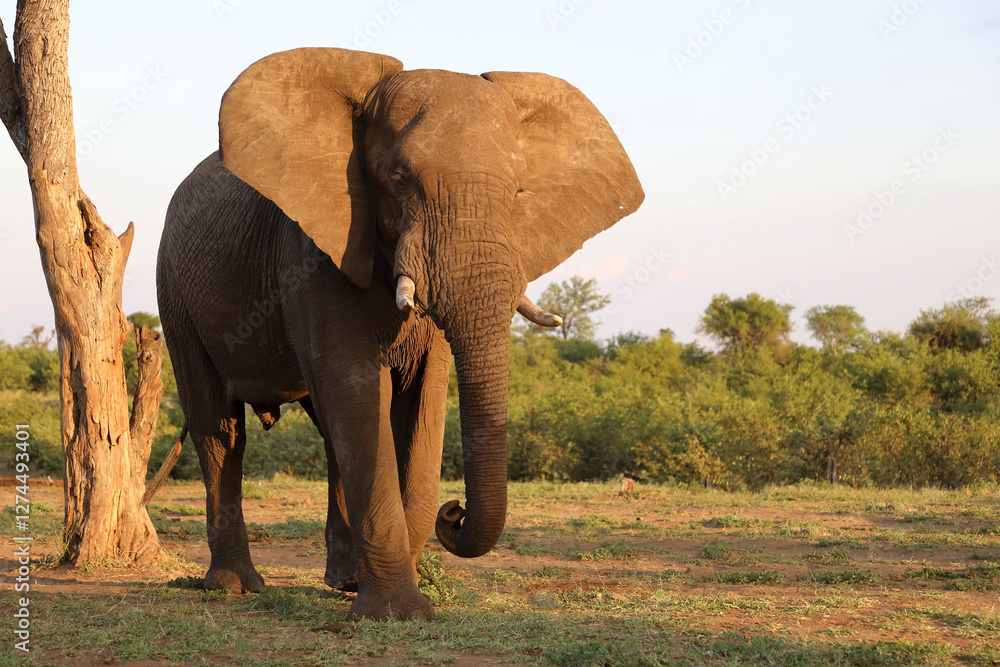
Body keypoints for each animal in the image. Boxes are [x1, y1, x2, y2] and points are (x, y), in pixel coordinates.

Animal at [156, 47, 643, 621]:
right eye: (399, 177)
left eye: (519, 189)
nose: (454, 511)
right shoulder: (310, 250)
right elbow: (357, 387)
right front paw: (397, 614)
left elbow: (421, 397)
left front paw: (390, 593)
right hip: (174, 291)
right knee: (218, 428)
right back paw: (235, 586)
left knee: (327, 431)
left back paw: (342, 581)